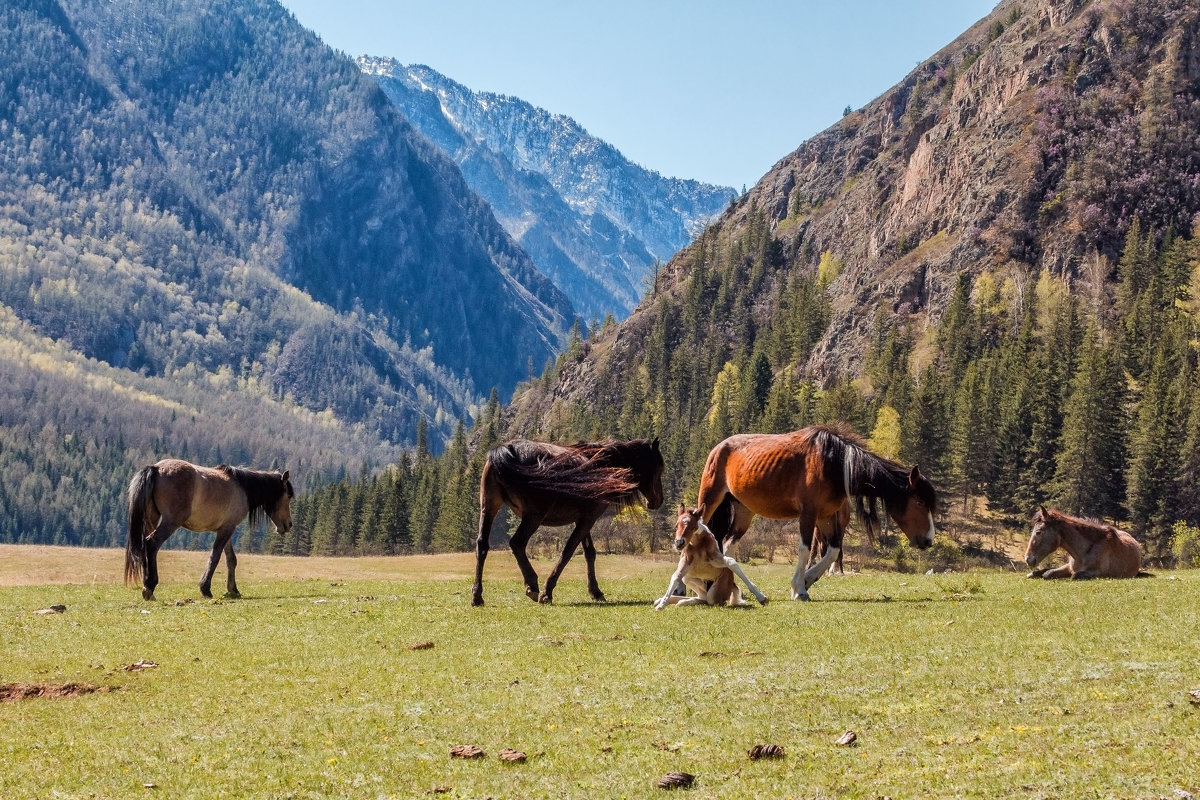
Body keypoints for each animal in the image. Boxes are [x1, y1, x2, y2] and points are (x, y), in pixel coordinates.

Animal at [124, 455, 295, 599]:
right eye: (288, 496)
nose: (288, 525)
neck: (242, 487)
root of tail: (156, 468)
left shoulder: (225, 528)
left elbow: (231, 559)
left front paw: (233, 590)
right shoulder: (227, 529)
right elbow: (215, 557)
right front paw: (205, 588)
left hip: (151, 519)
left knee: (145, 545)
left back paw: (147, 585)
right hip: (171, 522)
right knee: (152, 544)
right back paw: (149, 586)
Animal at [470, 438, 667, 606]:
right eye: (660, 469)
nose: (657, 501)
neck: (604, 465)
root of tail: (506, 450)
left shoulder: (584, 519)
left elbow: (590, 553)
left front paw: (595, 591)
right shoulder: (587, 520)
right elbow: (568, 551)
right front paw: (547, 592)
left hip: (488, 509)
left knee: (482, 546)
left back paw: (477, 596)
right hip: (533, 516)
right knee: (517, 543)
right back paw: (532, 586)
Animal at [686, 424, 936, 599]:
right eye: (920, 503)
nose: (929, 540)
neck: (836, 464)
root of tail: (719, 447)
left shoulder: (826, 516)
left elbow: (833, 551)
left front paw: (807, 580)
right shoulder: (809, 513)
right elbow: (805, 549)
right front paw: (799, 589)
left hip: (744, 510)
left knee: (728, 543)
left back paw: (734, 588)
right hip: (709, 501)